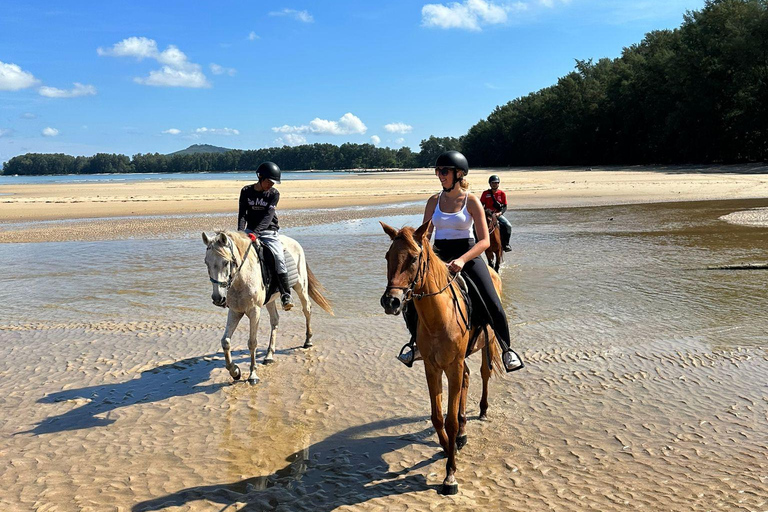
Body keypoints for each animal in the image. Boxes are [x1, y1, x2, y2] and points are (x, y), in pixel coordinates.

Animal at [201, 232, 332, 384]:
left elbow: (252, 342)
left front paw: (253, 375)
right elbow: (225, 341)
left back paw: (308, 341)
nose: (218, 298)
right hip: (270, 300)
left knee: (307, 309)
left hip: (301, 287)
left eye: (226, 262)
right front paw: (235, 372)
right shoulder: (235, 311)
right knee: (275, 320)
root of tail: (294, 242)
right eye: (206, 262)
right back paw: (269, 355)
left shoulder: (254, 312)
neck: (242, 279)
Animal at [380, 220, 504, 496]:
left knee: (485, 373)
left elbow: (450, 421)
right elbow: (438, 418)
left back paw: (483, 410)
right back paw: (463, 432)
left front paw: (450, 475)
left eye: (414, 258)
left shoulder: (453, 366)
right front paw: (450, 448)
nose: (391, 301)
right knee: (468, 379)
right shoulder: (433, 367)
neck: (439, 316)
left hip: (487, 343)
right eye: (387, 256)